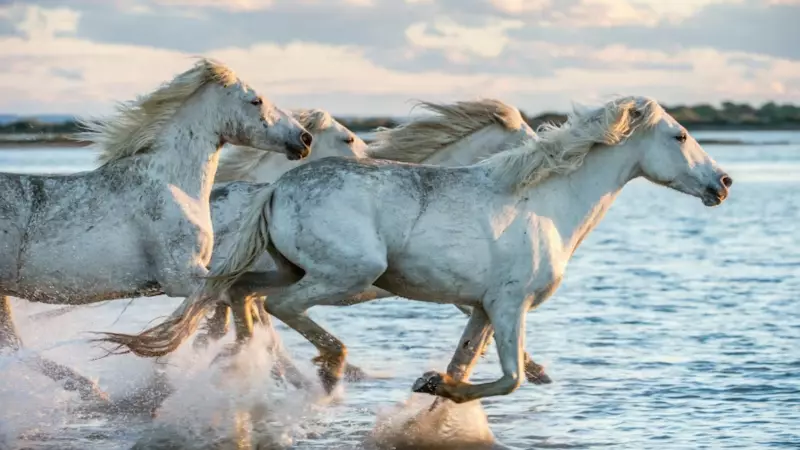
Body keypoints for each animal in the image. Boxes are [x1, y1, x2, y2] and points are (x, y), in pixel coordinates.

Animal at [0, 58, 312, 403]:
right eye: (256, 100)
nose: (304, 139)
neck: (173, 185)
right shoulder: (182, 277)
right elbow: (238, 307)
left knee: (12, 344)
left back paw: (95, 392)